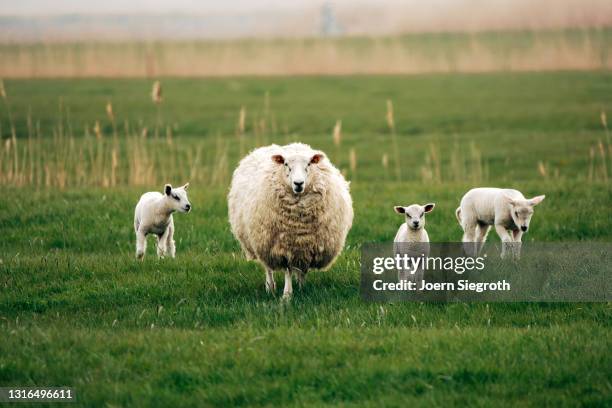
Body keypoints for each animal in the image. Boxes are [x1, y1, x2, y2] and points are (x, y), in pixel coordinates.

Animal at [228, 143, 354, 300]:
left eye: (309, 164)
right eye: (286, 164)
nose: (298, 183)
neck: (299, 224)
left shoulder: (306, 246)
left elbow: (302, 270)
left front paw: (302, 288)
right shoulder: (284, 246)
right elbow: (288, 270)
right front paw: (287, 295)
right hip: (263, 241)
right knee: (268, 267)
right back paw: (270, 287)